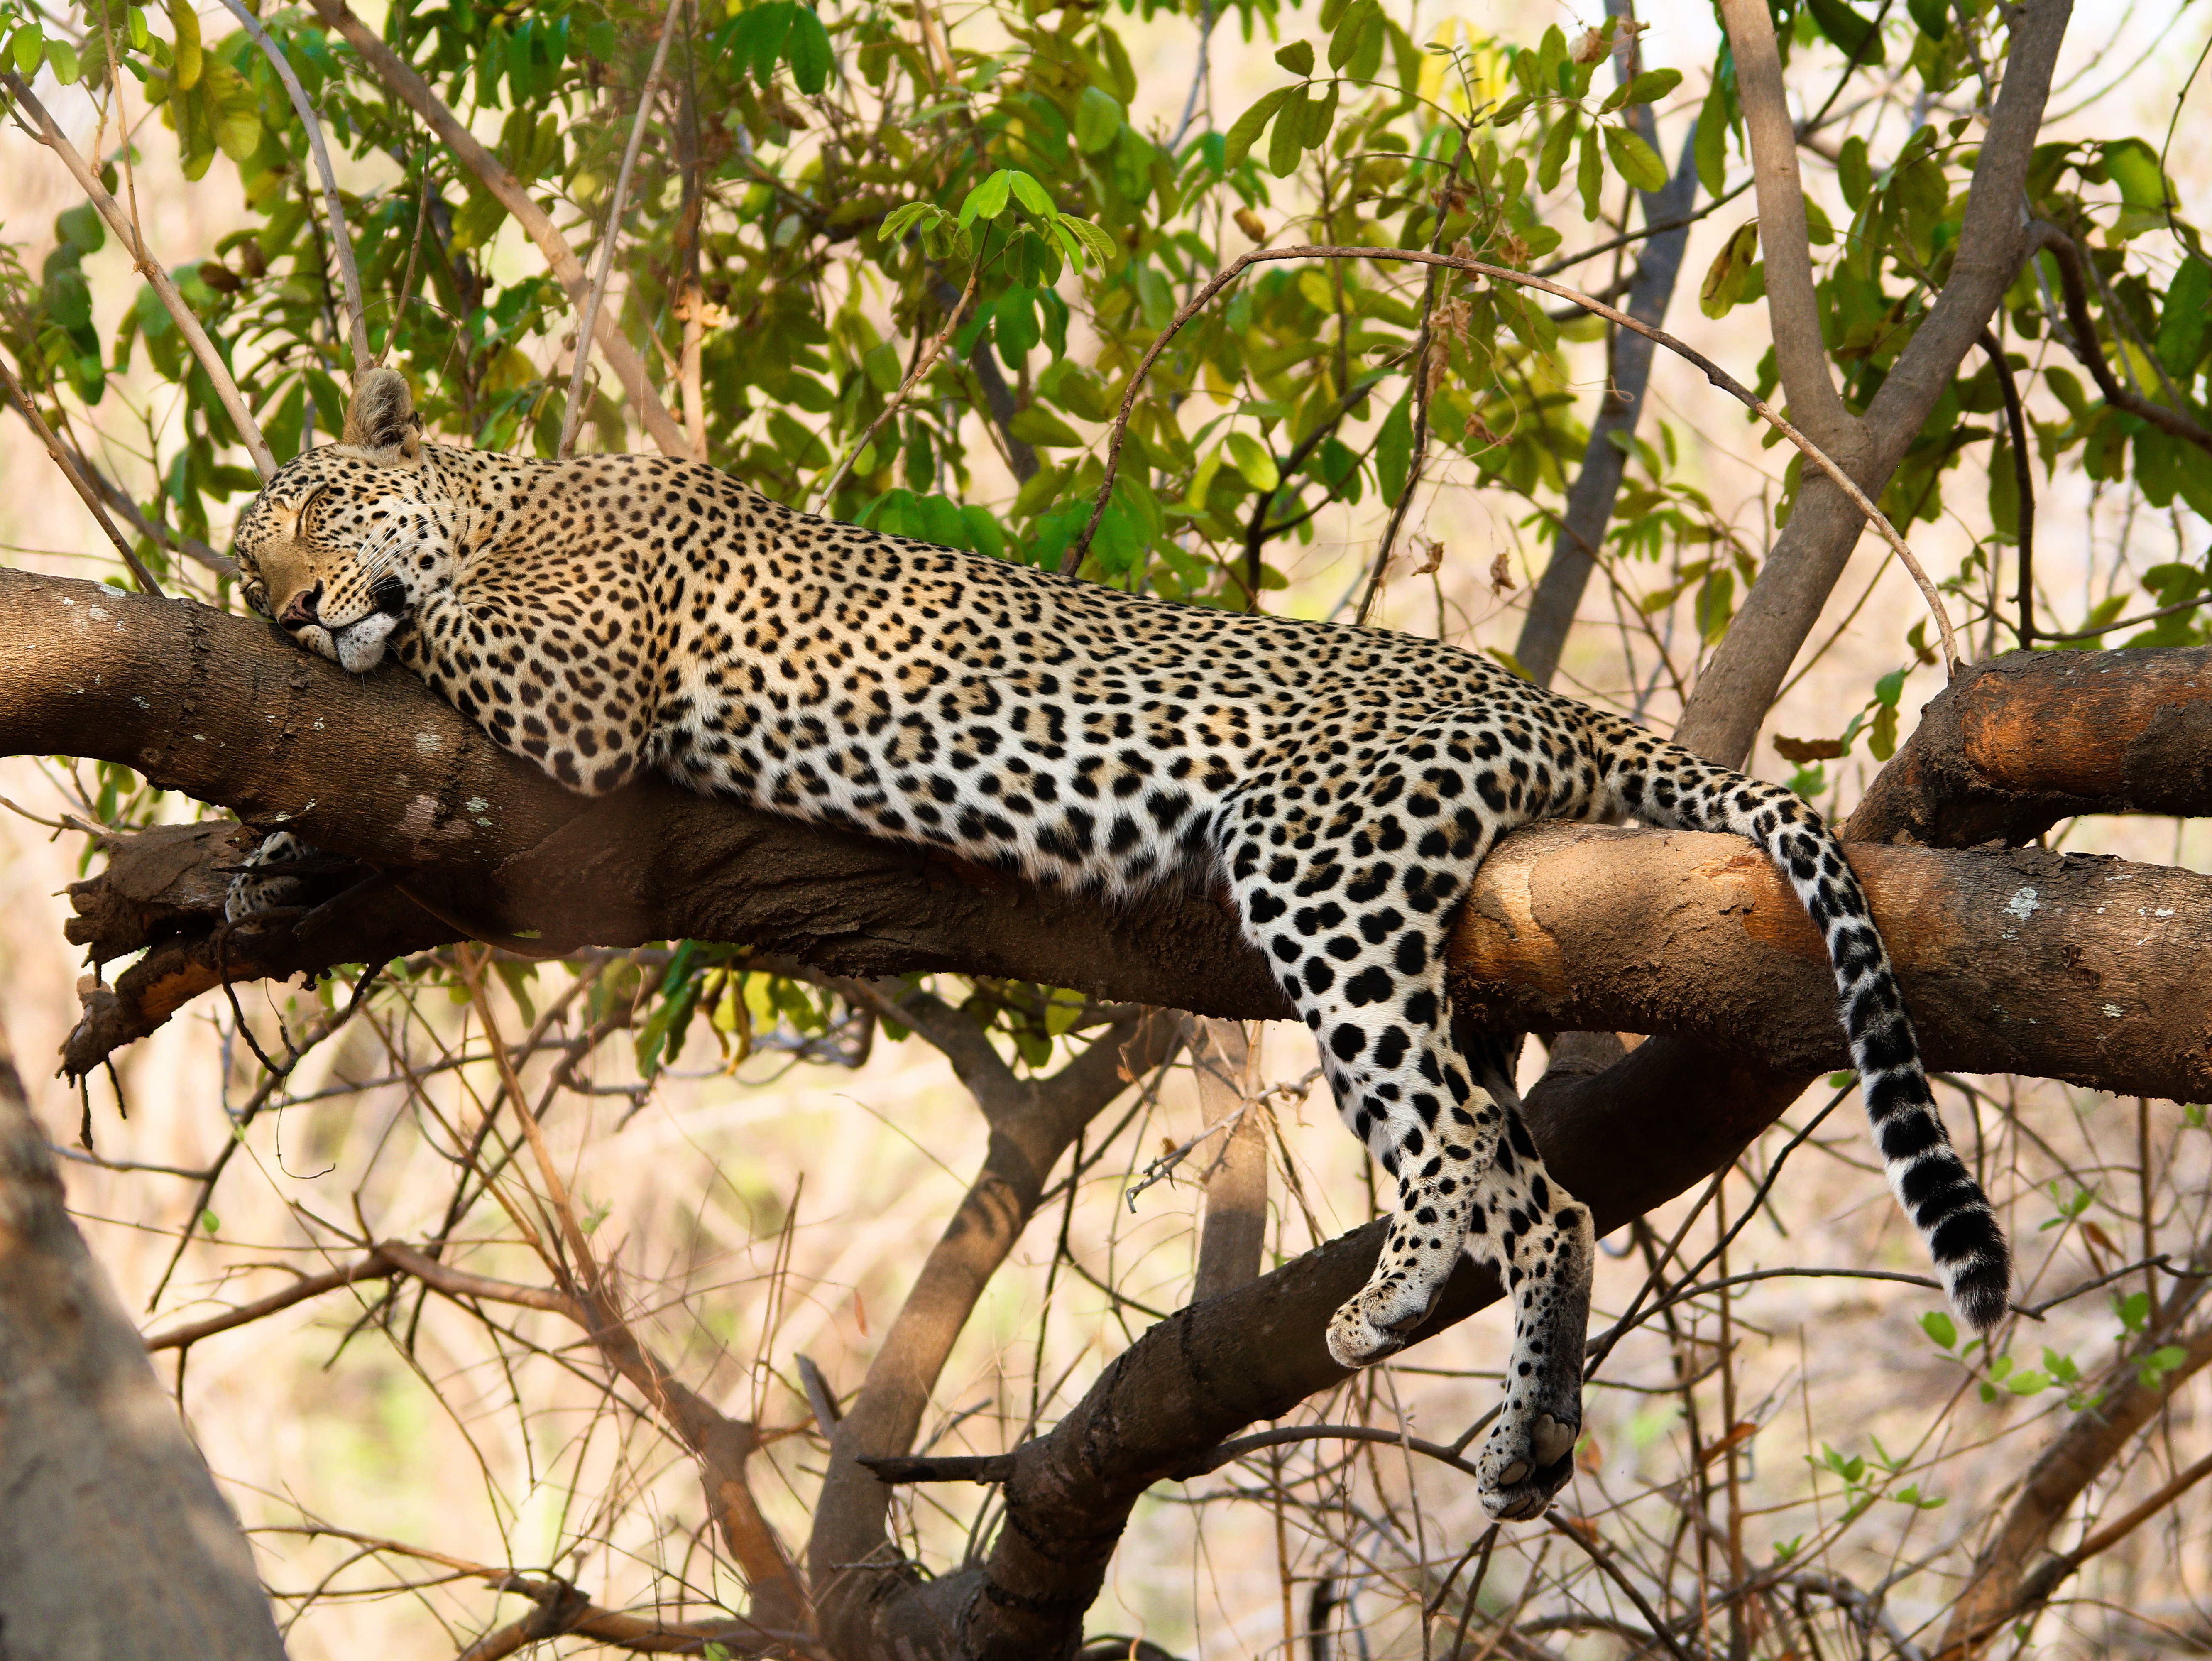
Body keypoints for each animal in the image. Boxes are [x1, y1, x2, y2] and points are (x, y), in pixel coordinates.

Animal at [226, 367, 2012, 1521]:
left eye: (314, 513)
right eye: (243, 573)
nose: (284, 613)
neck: (506, 492)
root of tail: (1529, 694)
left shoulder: (577, 696)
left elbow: (433, 648)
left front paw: (323, 741)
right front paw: (266, 867)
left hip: (1320, 863)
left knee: (1497, 1175)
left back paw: (1428, 1337)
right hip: (1399, 942)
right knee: (1509, 1168)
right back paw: (1500, 1413)